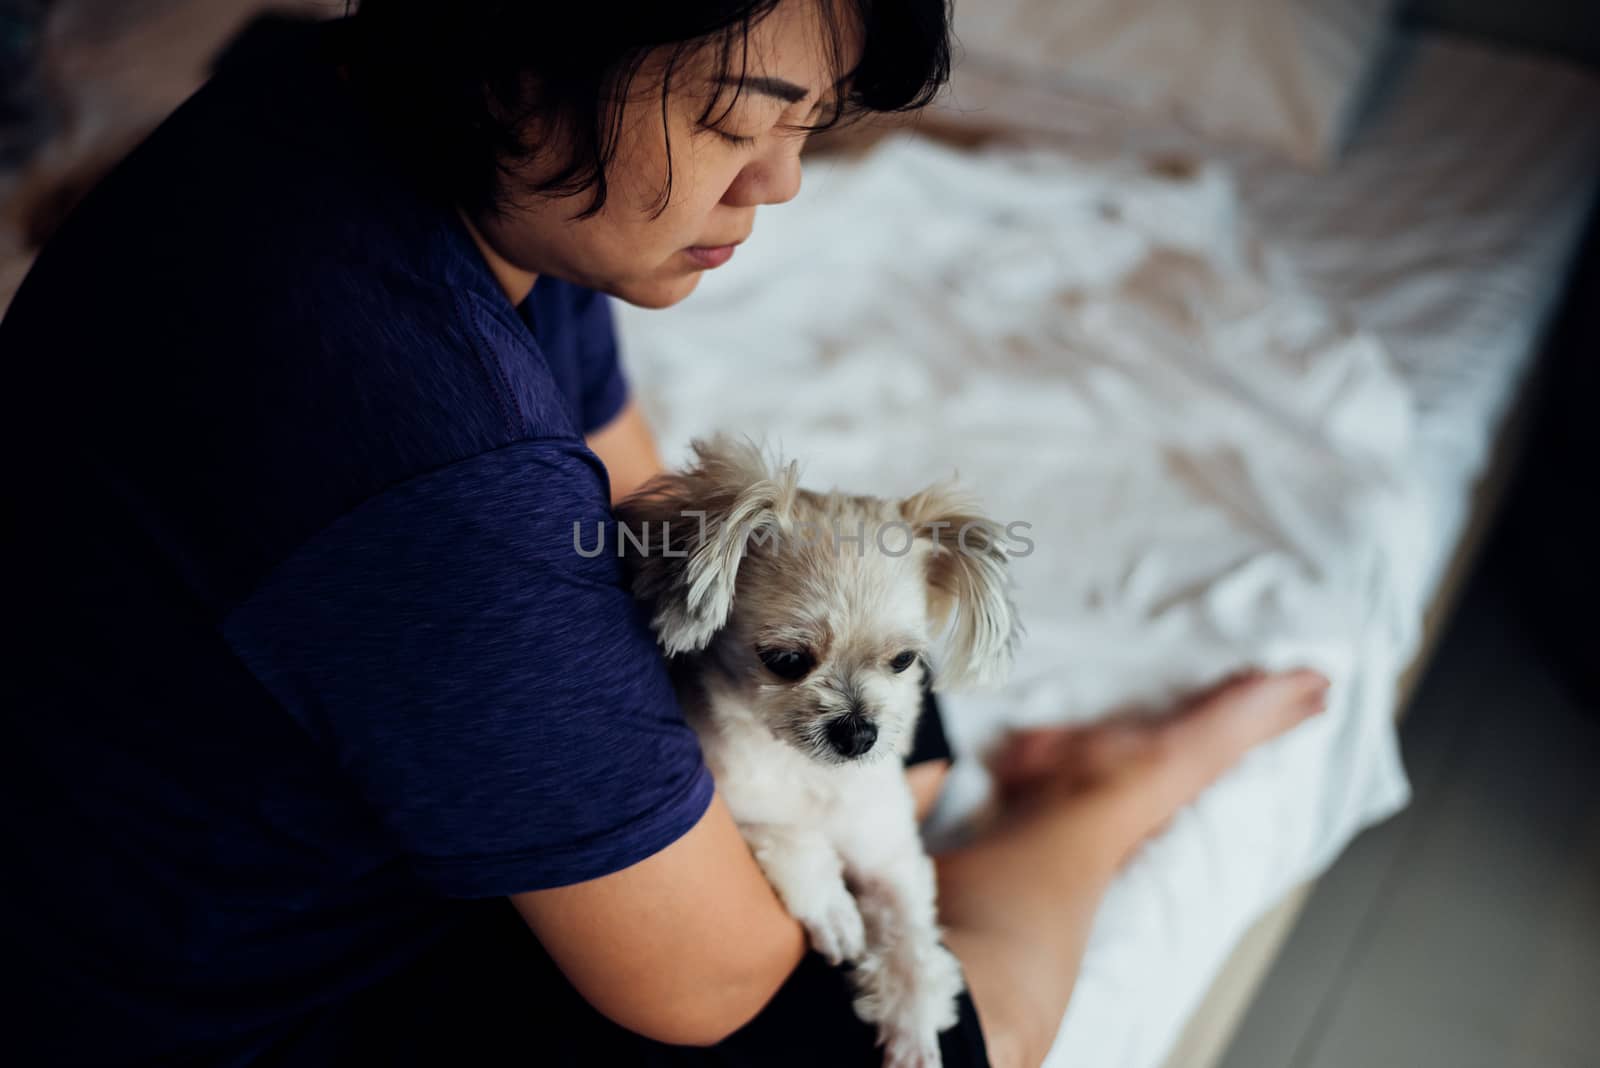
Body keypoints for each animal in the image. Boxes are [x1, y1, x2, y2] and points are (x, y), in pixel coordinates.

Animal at [617, 434, 1017, 1068]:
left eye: (904, 660)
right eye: (785, 660)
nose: (858, 732)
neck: (815, 780)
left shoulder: (889, 853)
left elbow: (910, 936)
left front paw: (914, 1026)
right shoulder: (731, 811)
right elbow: (788, 837)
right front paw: (833, 906)